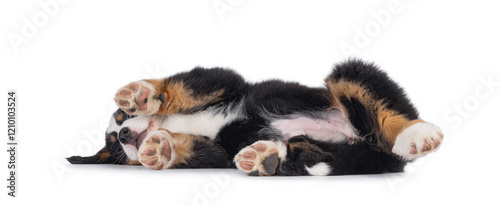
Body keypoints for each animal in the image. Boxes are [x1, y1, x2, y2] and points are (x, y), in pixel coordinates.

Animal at [67, 59, 446, 176]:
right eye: (116, 150)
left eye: (120, 118)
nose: (124, 136)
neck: (171, 124)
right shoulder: (218, 152)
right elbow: (198, 152)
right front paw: (161, 150)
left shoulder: (224, 82)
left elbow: (181, 86)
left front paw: (142, 96)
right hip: (324, 150)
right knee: (307, 156)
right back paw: (265, 156)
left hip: (352, 75)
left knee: (388, 111)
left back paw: (416, 135)